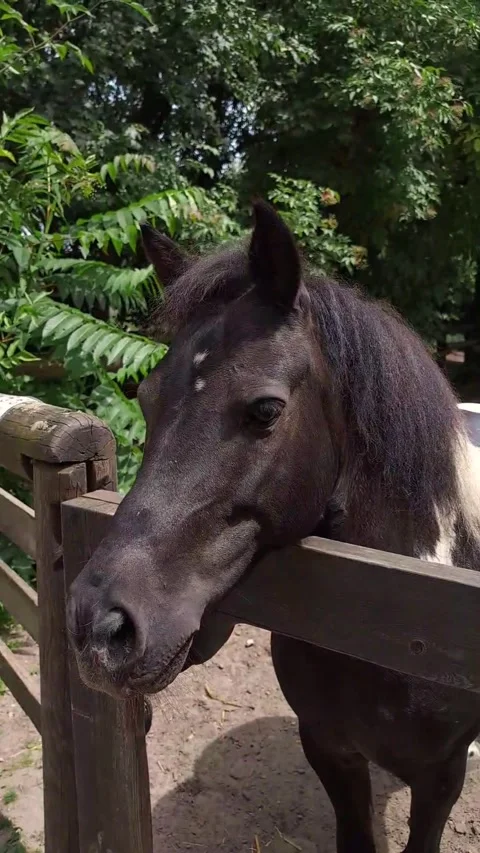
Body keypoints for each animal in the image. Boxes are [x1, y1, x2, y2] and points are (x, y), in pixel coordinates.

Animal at [67, 201, 480, 853]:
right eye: (147, 399)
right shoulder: (330, 750)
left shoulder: (441, 780)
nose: (98, 627)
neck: (402, 615)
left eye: (265, 410)